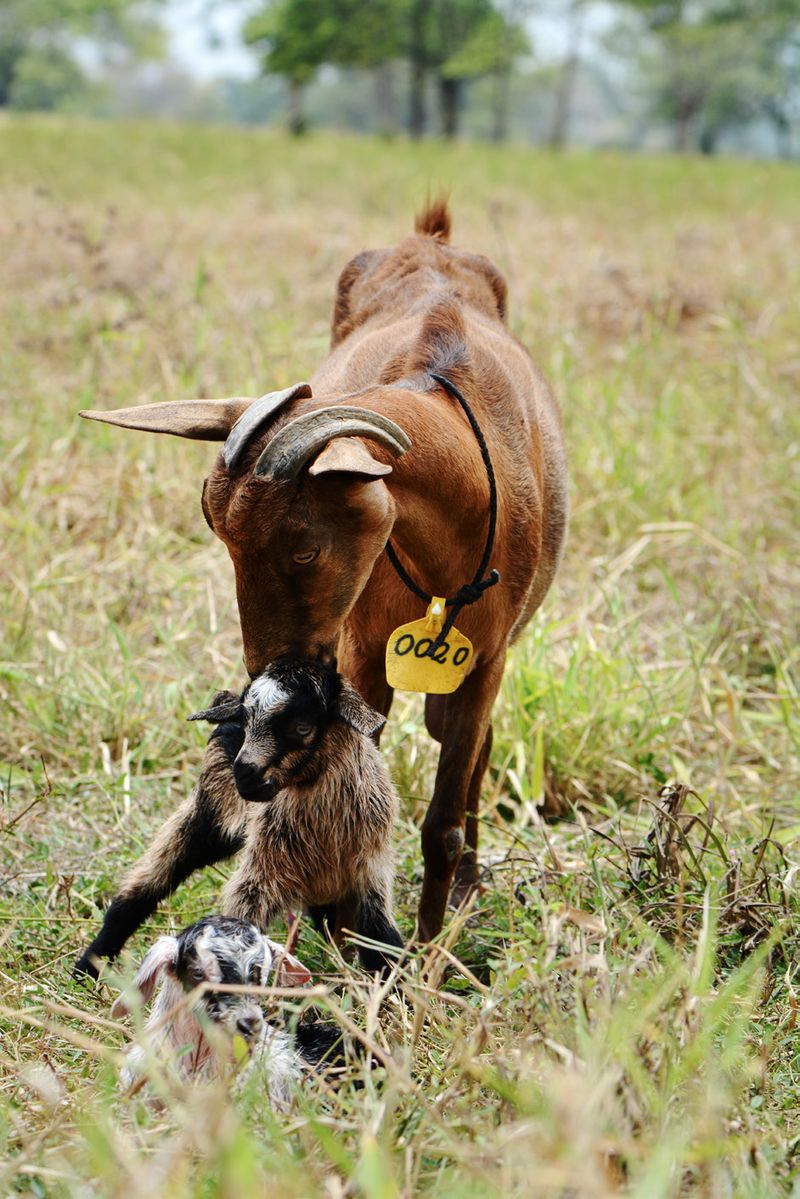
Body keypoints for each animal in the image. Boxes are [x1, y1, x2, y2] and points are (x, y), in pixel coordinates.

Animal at [77, 200, 568, 966]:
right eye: (216, 530)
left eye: (306, 547)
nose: (261, 673)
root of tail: (430, 238)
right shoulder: (361, 657)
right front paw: (344, 944)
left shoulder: (486, 657)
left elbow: (443, 819)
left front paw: (429, 957)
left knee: (476, 755)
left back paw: (465, 891)